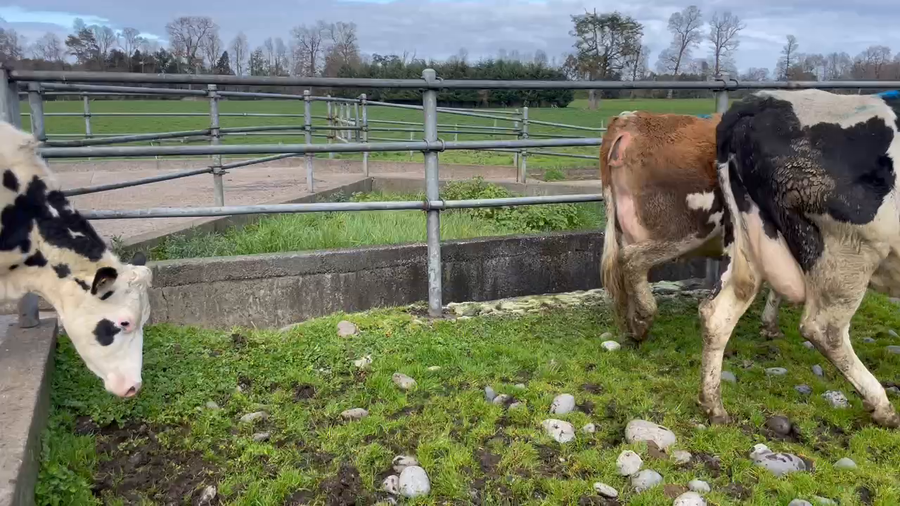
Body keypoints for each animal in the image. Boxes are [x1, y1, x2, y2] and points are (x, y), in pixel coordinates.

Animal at [699, 88, 900, 427]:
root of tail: (759, 102)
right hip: (851, 252)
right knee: (823, 329)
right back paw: (882, 406)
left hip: (750, 240)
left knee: (719, 311)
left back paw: (714, 407)